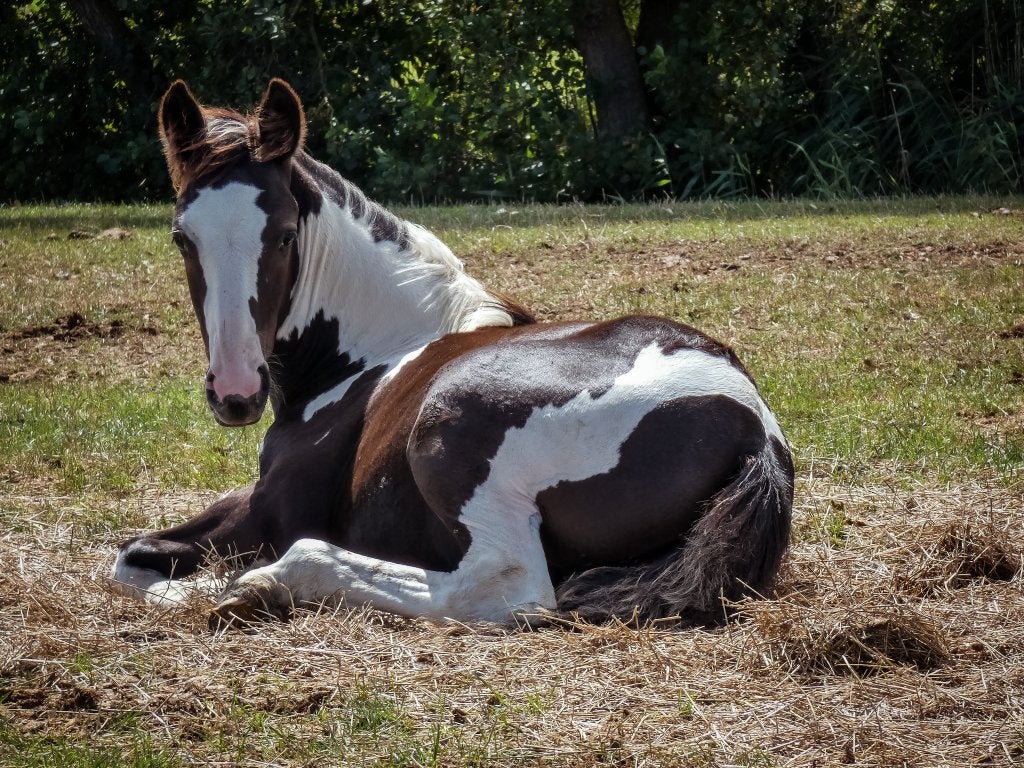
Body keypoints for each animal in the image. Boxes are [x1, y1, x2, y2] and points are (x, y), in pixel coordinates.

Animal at [110, 78, 794, 628]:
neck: (372, 353)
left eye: (282, 235)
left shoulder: (272, 510)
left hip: (450, 422)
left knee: (504, 586)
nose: (236, 393)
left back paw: (266, 586)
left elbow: (133, 557)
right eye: (181, 237)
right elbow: (136, 554)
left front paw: (201, 589)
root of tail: (751, 426)